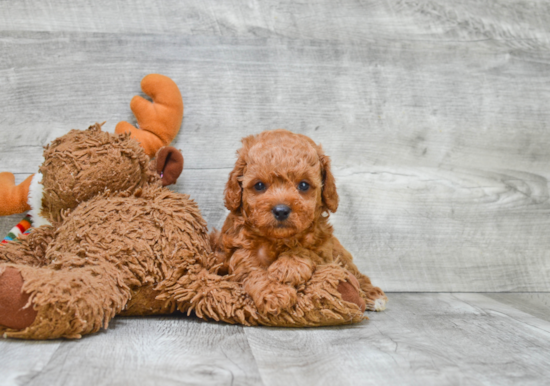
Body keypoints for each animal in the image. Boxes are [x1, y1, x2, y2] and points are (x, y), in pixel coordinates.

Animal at [212, 130, 388, 316]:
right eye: (259, 185)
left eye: (303, 185)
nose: (281, 210)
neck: (280, 239)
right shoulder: (241, 251)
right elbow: (253, 271)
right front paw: (274, 292)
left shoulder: (324, 249)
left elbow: (307, 251)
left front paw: (289, 266)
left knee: (355, 272)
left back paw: (373, 296)